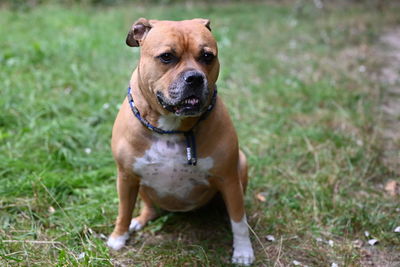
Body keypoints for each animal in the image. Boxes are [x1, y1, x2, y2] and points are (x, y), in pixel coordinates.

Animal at [107, 17, 253, 266]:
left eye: (207, 56)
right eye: (167, 57)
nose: (195, 77)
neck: (172, 128)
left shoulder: (228, 178)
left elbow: (239, 219)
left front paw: (243, 251)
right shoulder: (126, 176)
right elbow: (124, 210)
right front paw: (119, 237)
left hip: (240, 164)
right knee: (149, 207)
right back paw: (140, 220)